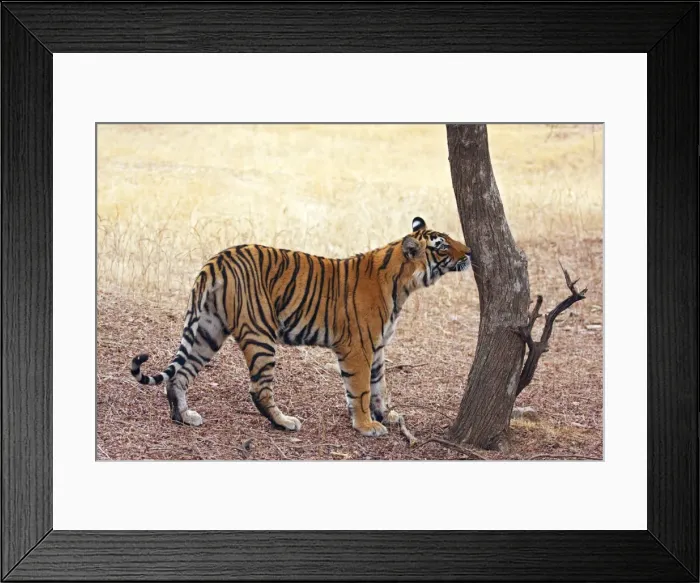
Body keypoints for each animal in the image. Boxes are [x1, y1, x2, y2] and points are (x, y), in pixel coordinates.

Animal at [130, 217, 471, 437]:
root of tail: (216, 261)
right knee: (258, 389)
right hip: (260, 335)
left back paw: (183, 417)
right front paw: (366, 426)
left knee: (180, 375)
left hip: (207, 330)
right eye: (442, 246)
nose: (469, 252)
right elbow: (361, 389)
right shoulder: (358, 348)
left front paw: (387, 415)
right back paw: (284, 423)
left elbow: (379, 387)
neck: (403, 284)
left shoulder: (377, 348)